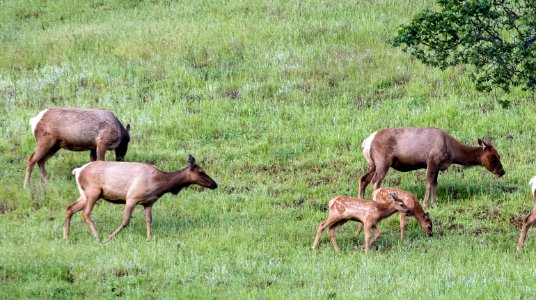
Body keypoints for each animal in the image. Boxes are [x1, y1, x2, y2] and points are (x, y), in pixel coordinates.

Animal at [63, 155, 219, 241]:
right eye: (201, 172)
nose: (215, 184)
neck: (161, 184)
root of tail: (77, 171)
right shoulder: (131, 197)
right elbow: (126, 221)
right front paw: (110, 237)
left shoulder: (149, 202)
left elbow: (149, 220)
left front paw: (149, 238)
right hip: (93, 192)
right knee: (86, 213)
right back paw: (97, 236)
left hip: (84, 194)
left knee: (69, 208)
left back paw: (66, 236)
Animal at [358, 127, 504, 209]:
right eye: (493, 156)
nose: (502, 171)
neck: (453, 152)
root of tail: (365, 143)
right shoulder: (432, 161)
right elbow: (428, 183)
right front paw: (426, 204)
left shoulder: (438, 166)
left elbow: (435, 184)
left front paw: (434, 203)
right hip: (383, 162)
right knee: (375, 182)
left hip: (372, 164)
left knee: (363, 179)